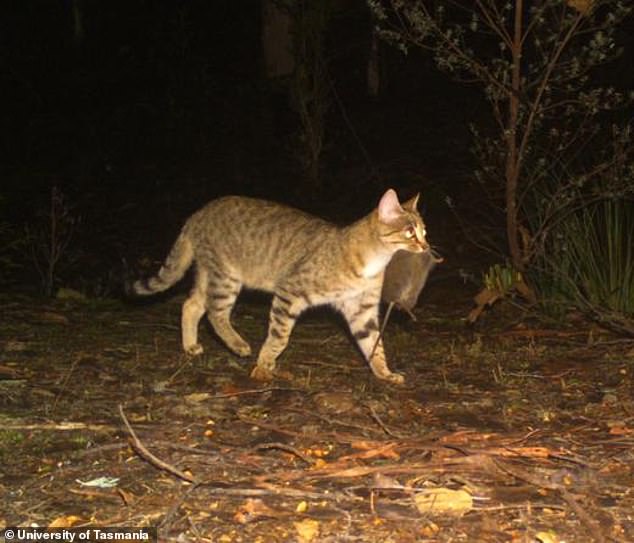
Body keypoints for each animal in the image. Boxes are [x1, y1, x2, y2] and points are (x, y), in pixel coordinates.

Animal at [129, 189, 428, 384]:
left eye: (424, 231)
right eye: (409, 232)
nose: (426, 246)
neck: (372, 262)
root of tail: (197, 214)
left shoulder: (361, 309)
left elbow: (374, 344)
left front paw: (384, 373)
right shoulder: (290, 291)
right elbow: (279, 336)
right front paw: (264, 366)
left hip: (209, 273)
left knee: (191, 305)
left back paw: (190, 346)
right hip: (225, 277)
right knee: (215, 313)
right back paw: (238, 344)